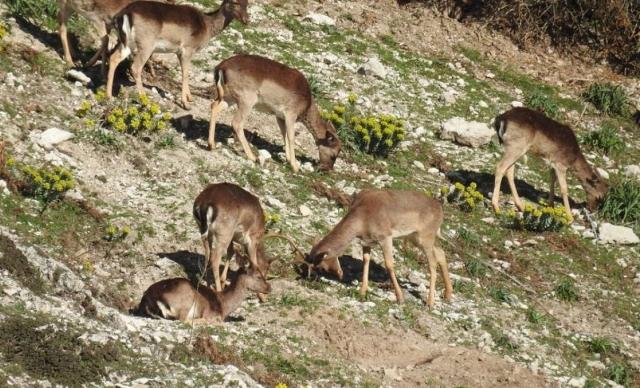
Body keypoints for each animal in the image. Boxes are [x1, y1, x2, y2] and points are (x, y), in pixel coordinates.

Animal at [106, 0, 249, 109]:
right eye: (235, 2)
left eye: (247, 3)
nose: (246, 20)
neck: (207, 26)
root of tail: (124, 14)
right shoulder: (187, 49)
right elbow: (185, 74)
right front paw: (185, 103)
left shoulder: (178, 52)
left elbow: (184, 73)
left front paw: (190, 98)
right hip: (146, 44)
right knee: (135, 67)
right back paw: (144, 100)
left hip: (126, 43)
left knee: (113, 58)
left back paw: (108, 96)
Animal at [136, 266, 272, 324]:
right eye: (258, 276)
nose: (269, 288)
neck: (223, 304)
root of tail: (150, 299)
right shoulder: (211, 313)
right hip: (186, 299)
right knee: (184, 320)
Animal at [209, 53, 340, 172]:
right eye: (334, 154)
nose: (327, 169)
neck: (306, 103)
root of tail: (221, 67)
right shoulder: (290, 114)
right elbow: (291, 137)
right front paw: (295, 166)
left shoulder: (279, 116)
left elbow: (284, 134)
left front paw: (288, 159)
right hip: (247, 100)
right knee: (236, 123)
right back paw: (253, 157)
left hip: (229, 98)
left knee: (214, 106)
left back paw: (211, 145)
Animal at [304, 189, 450, 308]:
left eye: (321, 266)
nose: (311, 281)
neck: (363, 217)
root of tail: (440, 209)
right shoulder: (366, 242)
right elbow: (366, 260)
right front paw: (362, 292)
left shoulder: (385, 237)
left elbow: (389, 264)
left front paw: (400, 298)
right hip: (416, 238)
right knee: (441, 253)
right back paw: (448, 295)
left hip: (425, 237)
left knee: (432, 263)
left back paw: (430, 303)